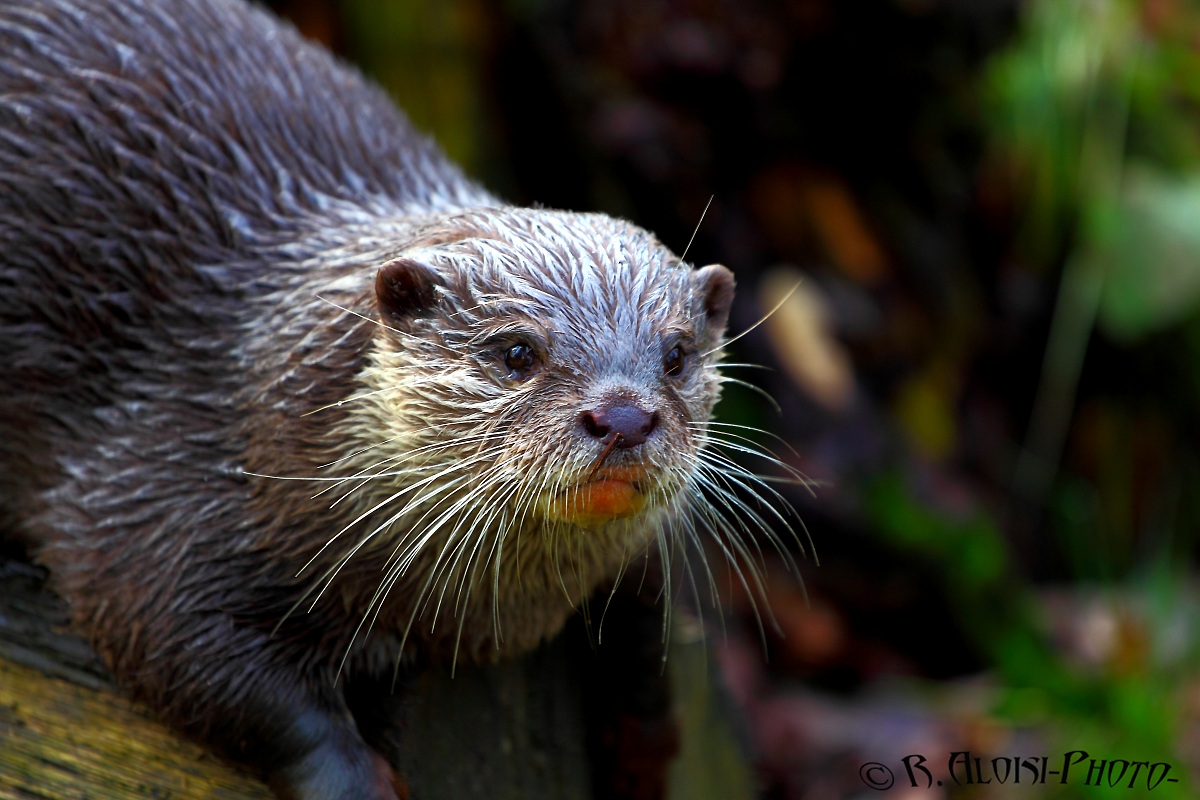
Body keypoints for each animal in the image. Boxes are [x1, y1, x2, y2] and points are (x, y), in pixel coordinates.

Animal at [0, 1, 773, 798]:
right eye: (516, 353)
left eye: (677, 356)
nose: (623, 416)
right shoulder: (152, 507)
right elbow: (186, 647)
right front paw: (358, 779)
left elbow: (652, 616)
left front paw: (645, 744)